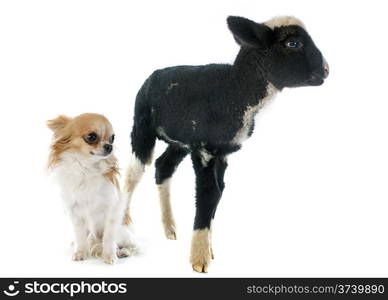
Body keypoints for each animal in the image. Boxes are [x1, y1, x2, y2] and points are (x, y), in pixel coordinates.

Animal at [123, 15, 328, 274]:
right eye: (293, 44)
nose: (326, 70)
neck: (234, 91)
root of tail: (152, 76)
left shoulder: (222, 152)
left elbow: (219, 191)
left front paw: (208, 250)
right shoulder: (204, 149)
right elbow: (208, 193)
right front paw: (199, 259)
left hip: (180, 142)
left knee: (163, 167)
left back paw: (169, 228)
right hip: (142, 125)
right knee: (134, 172)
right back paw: (122, 221)